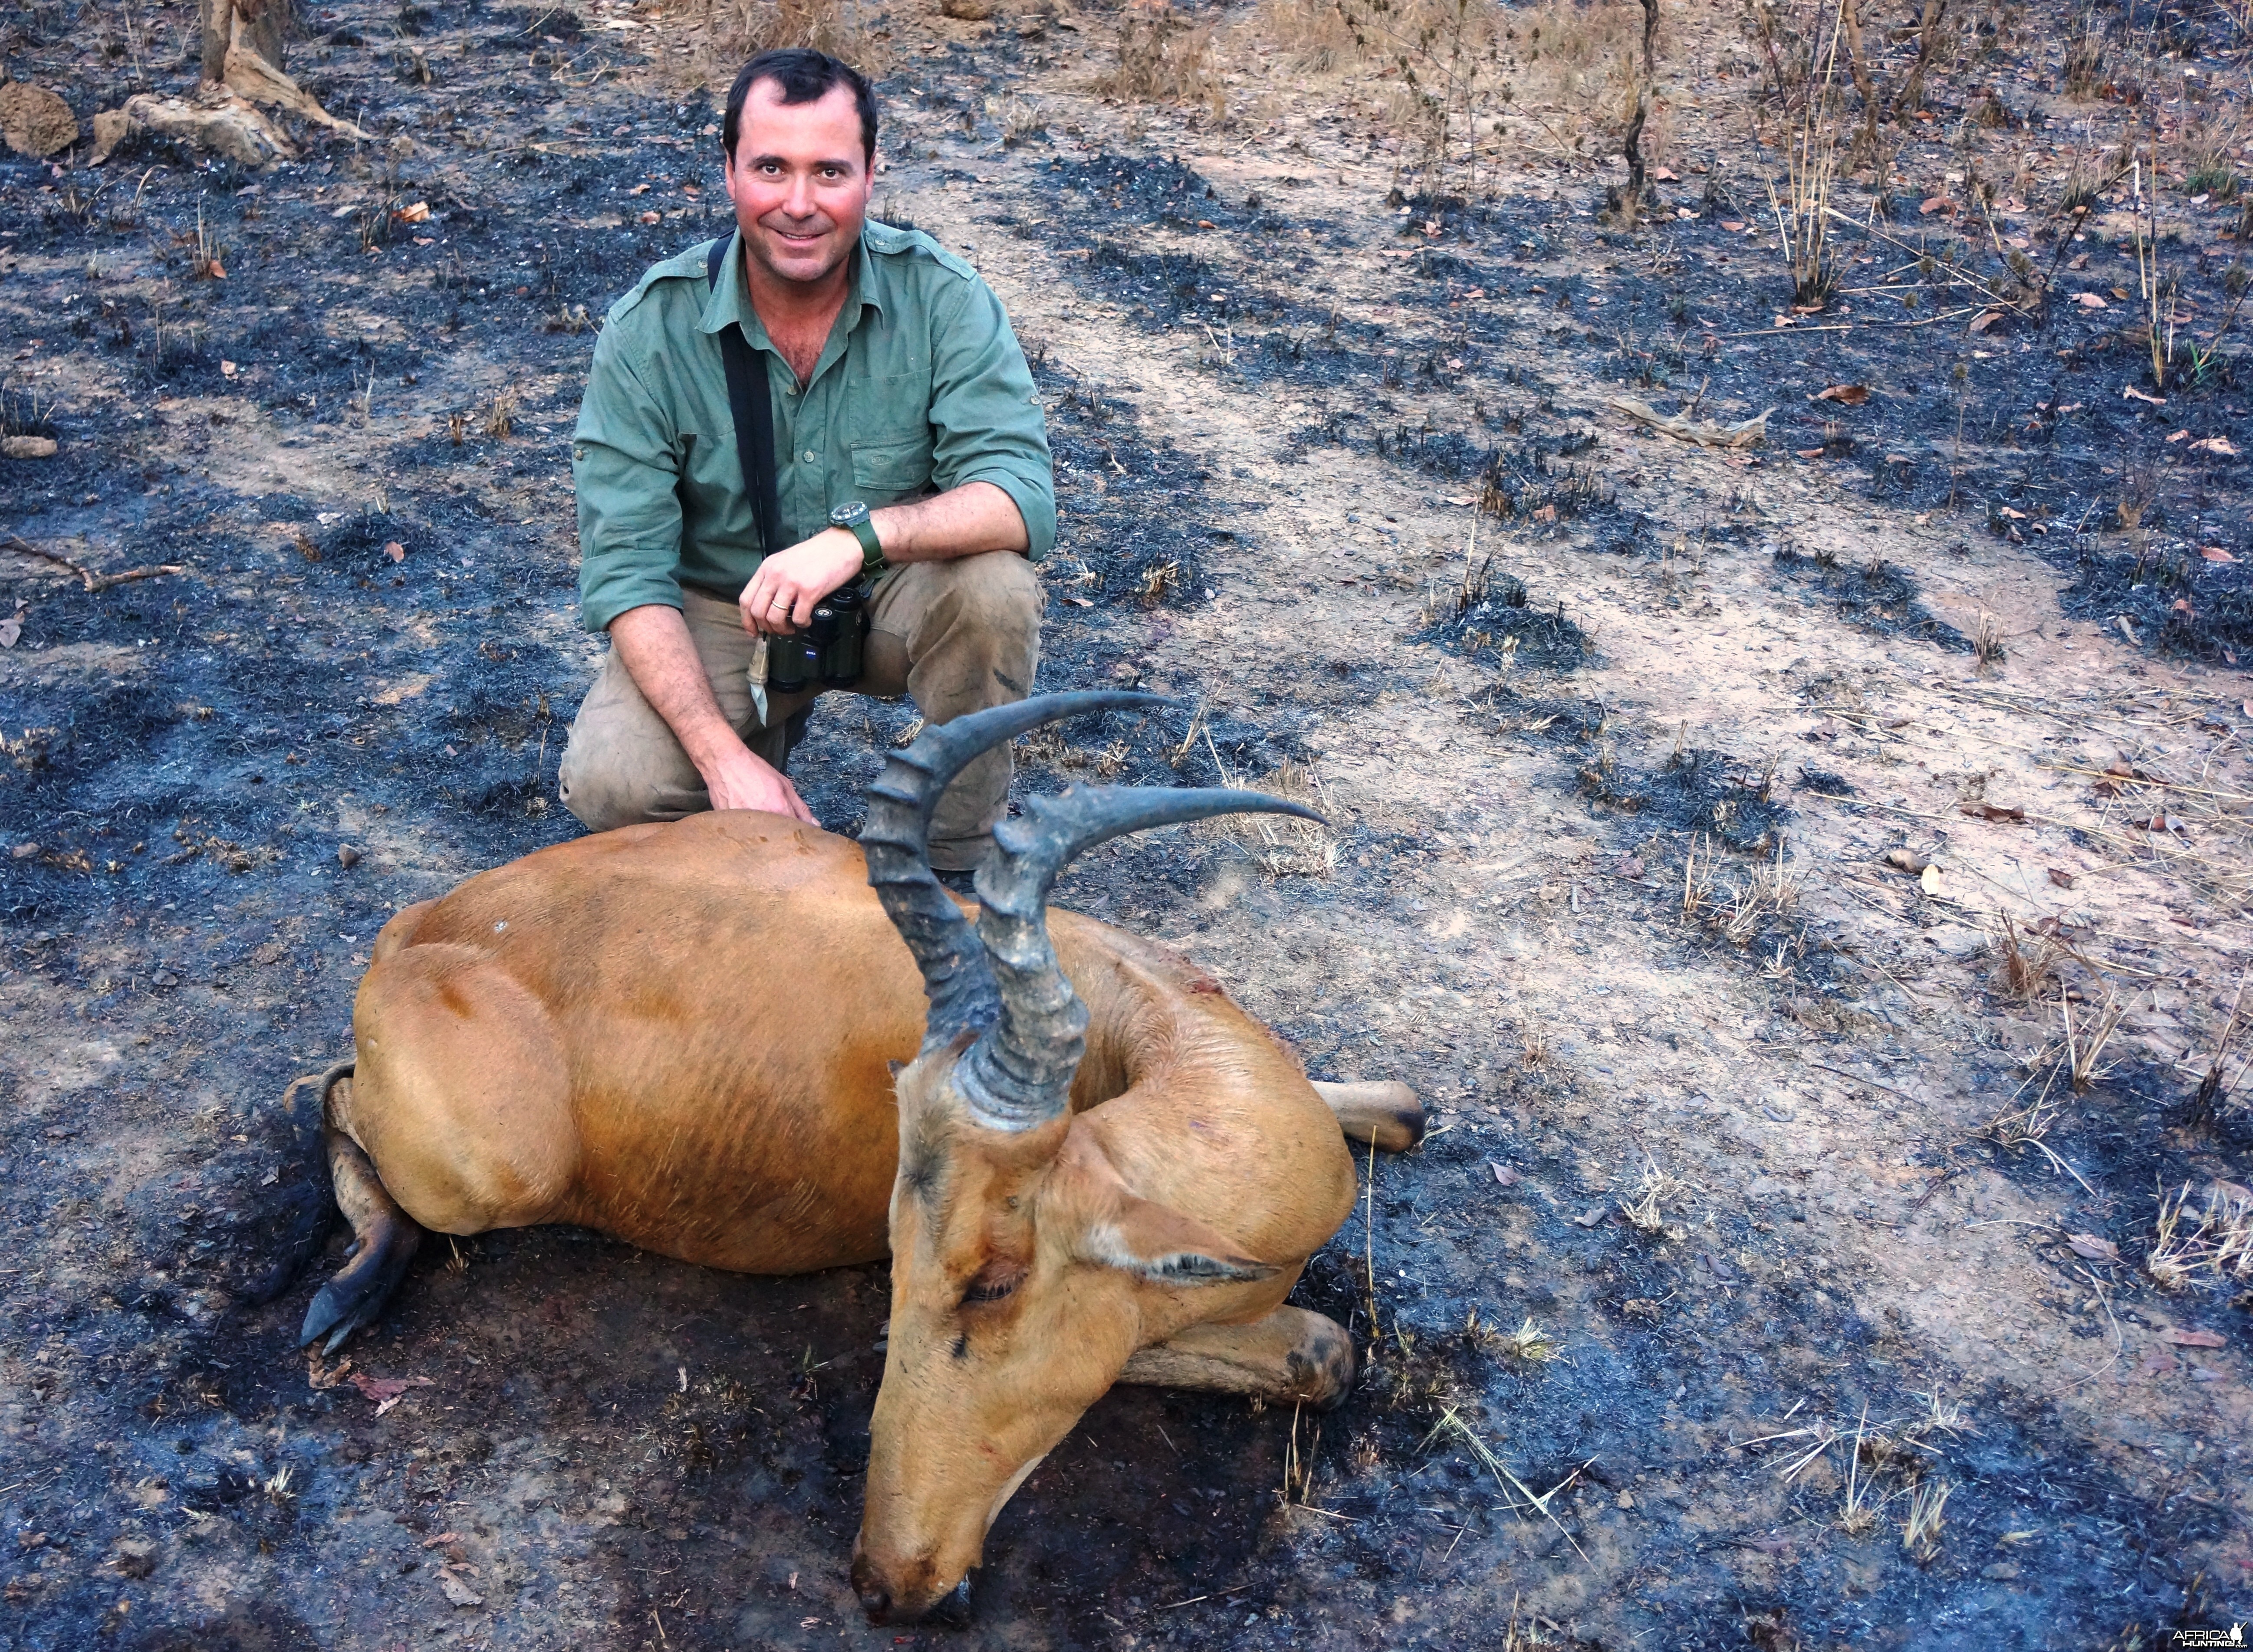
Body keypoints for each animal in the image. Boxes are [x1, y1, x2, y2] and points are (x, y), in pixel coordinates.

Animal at [299, 694, 1424, 1622]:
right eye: (897, 1259)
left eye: (996, 1279)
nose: (891, 1584)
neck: (1127, 1017)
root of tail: (418, 928)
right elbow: (1322, 1348)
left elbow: (1406, 1111)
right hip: (495, 1171)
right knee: (323, 1091)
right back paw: (346, 1294)